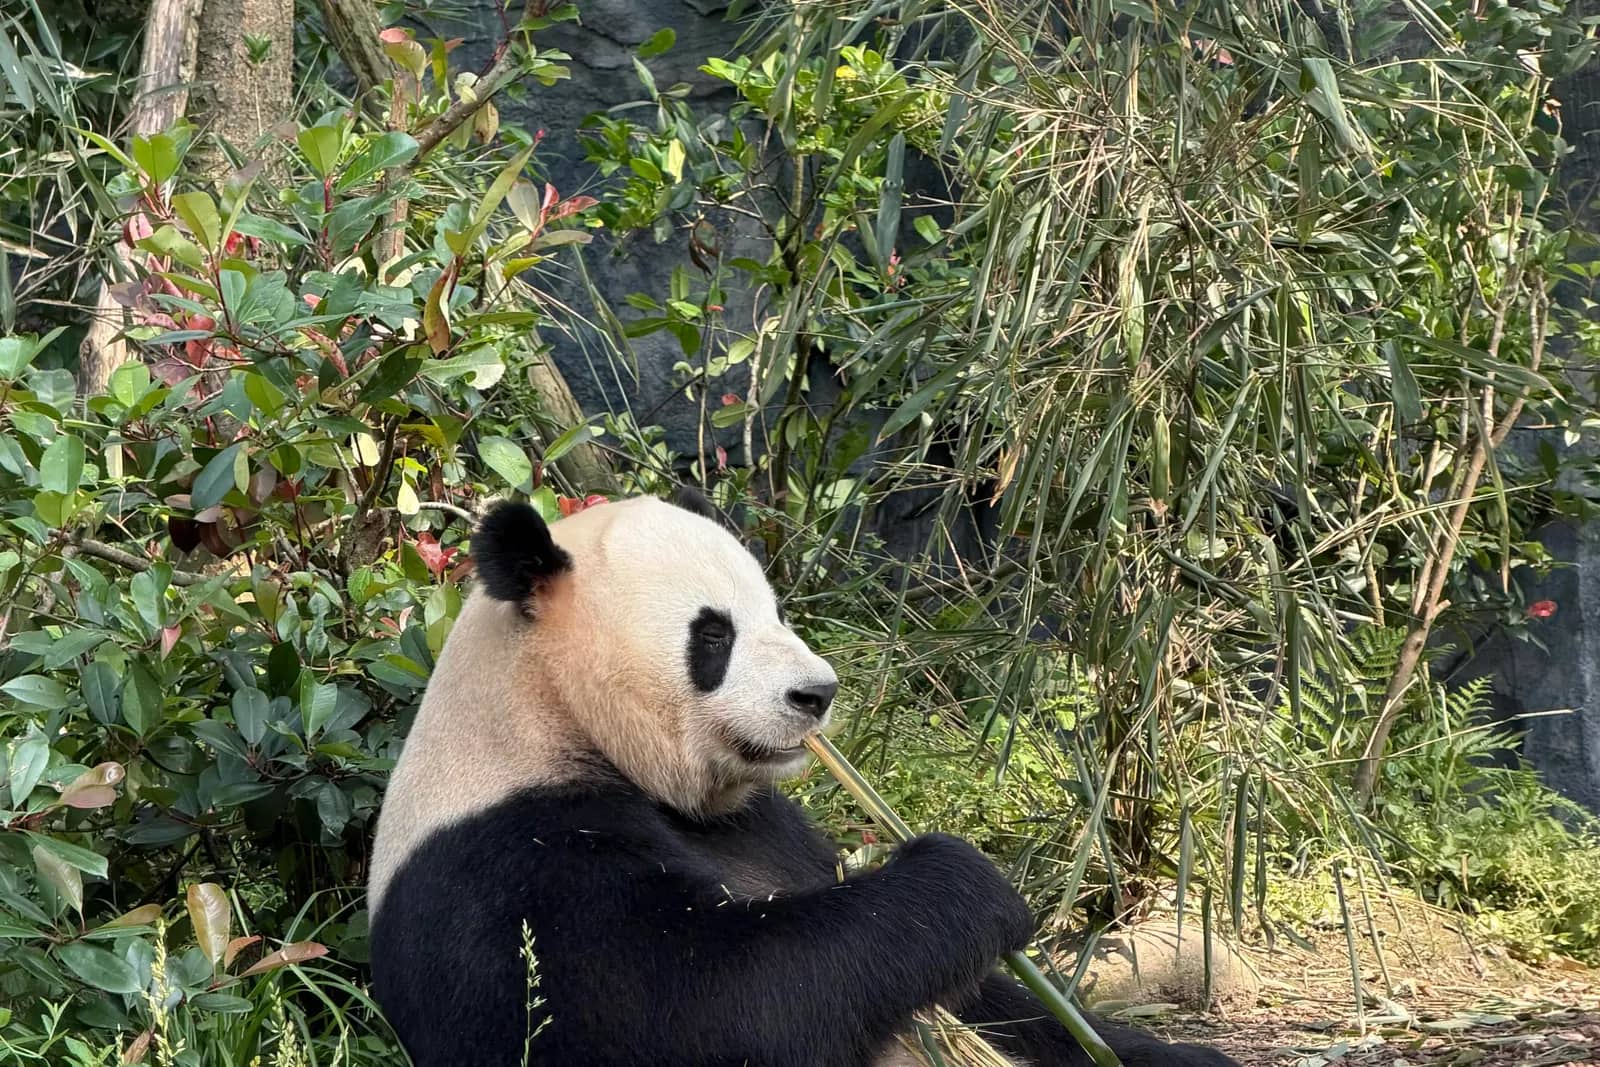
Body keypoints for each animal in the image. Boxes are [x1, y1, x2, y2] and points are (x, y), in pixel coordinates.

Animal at [368, 490, 1240, 1067]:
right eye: (713, 634)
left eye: (778, 612)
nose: (816, 693)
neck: (548, 715)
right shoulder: (508, 864)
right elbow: (712, 1005)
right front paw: (966, 878)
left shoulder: (766, 823)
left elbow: (990, 1002)